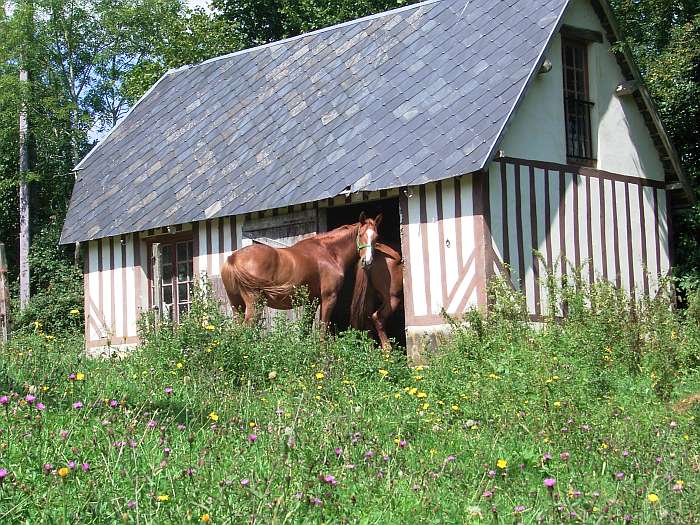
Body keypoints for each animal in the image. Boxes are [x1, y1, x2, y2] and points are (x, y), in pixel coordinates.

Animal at [221, 213, 383, 328]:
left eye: (376, 237)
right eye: (361, 235)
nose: (367, 261)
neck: (329, 252)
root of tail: (233, 258)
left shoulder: (312, 301)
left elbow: (305, 329)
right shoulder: (328, 298)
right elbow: (322, 329)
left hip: (237, 305)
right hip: (254, 304)